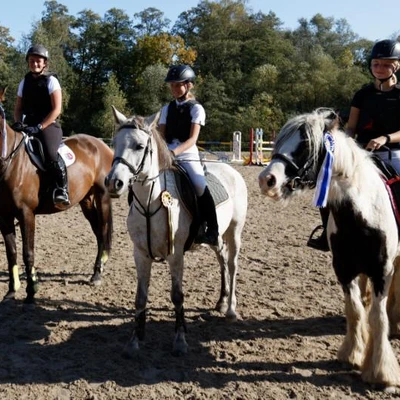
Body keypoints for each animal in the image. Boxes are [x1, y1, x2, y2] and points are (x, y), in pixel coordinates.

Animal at [0, 87, 113, 306]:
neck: (10, 162)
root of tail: (101, 145)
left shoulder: (26, 214)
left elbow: (28, 253)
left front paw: (31, 291)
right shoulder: (4, 217)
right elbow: (12, 253)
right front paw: (11, 291)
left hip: (102, 196)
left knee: (103, 231)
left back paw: (97, 275)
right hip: (86, 200)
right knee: (97, 231)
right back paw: (97, 270)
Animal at [104, 107, 247, 356]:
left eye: (139, 146)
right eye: (115, 143)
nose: (114, 183)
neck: (150, 201)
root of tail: (231, 169)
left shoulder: (176, 254)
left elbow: (177, 296)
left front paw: (180, 340)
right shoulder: (140, 254)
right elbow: (140, 298)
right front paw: (134, 341)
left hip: (234, 231)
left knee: (232, 265)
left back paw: (230, 309)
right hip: (216, 237)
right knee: (222, 260)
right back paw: (221, 301)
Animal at [260, 107, 400, 390]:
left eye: (305, 145)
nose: (267, 179)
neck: (363, 214)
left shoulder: (382, 270)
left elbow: (378, 317)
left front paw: (381, 372)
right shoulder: (343, 269)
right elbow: (355, 310)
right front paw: (353, 354)